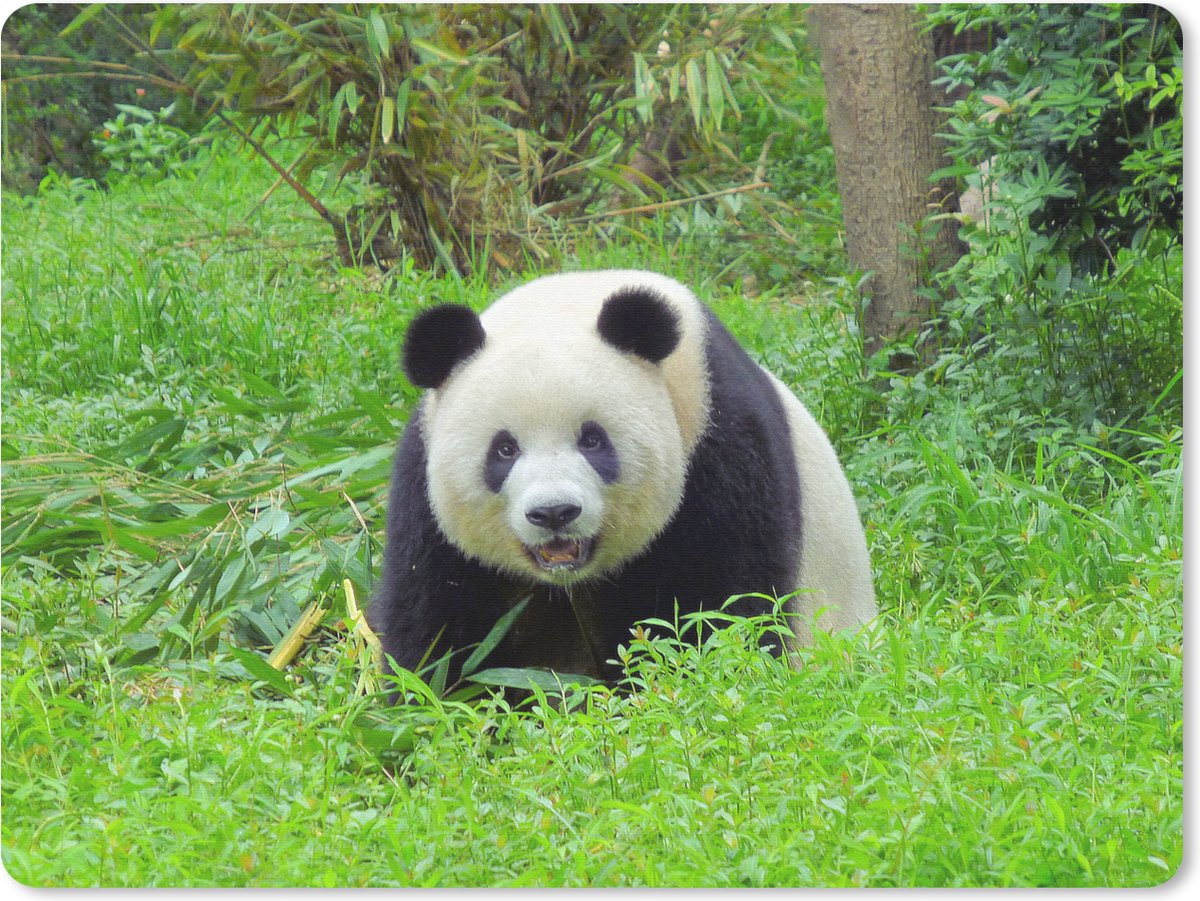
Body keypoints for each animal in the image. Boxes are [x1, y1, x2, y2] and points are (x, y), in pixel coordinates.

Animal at [369, 270, 875, 685]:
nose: (554, 513)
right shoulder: (424, 490)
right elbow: (438, 625)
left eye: (593, 440)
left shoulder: (720, 445)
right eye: (504, 449)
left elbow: (724, 605)